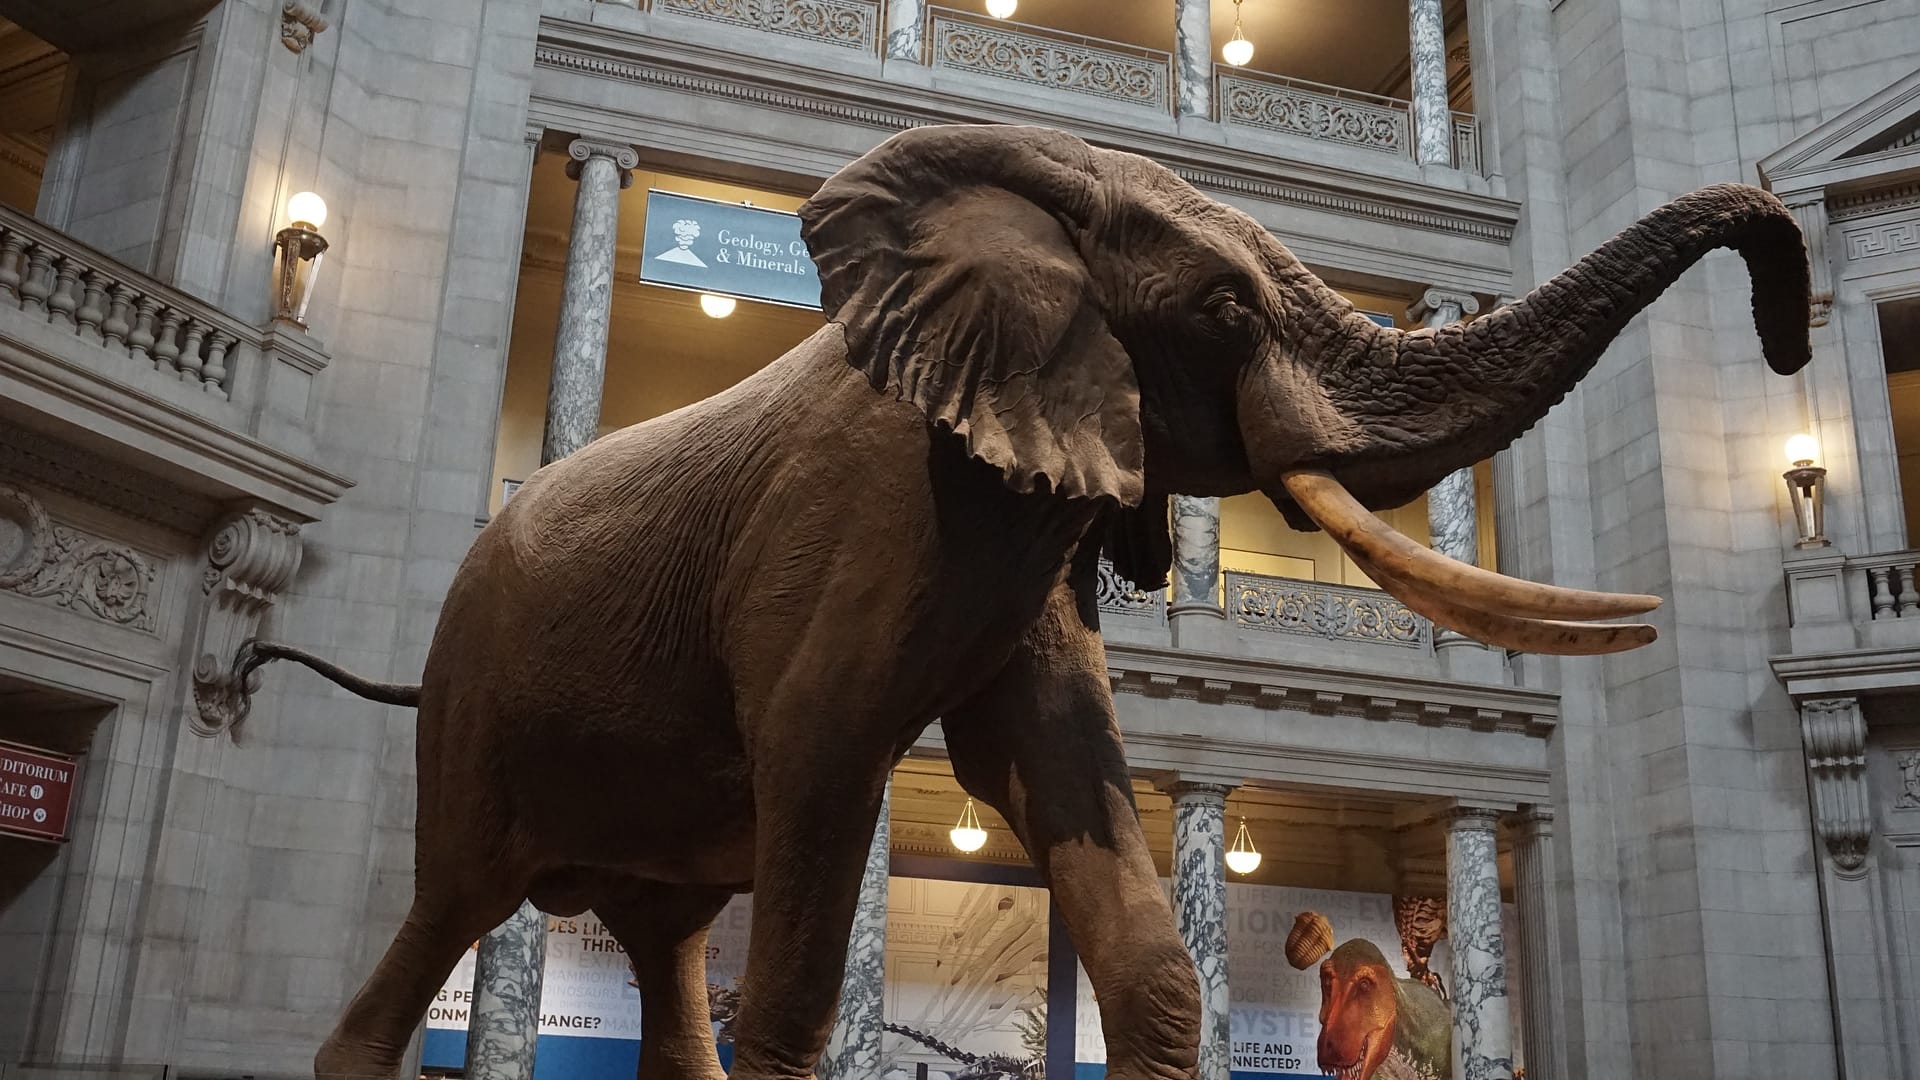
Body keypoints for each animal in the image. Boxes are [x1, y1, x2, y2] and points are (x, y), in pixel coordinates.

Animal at [220, 125, 1797, 1076]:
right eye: (1225, 313)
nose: (1786, 334)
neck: (1051, 200)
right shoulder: (870, 505)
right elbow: (822, 787)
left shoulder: (1032, 519)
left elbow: (1073, 797)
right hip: (473, 709)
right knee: (452, 907)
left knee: (664, 948)